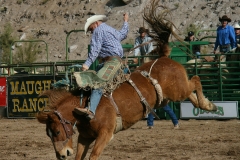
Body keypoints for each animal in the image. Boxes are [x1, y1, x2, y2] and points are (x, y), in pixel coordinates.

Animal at [37, 0, 218, 159]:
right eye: (48, 134)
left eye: (57, 131)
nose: (62, 155)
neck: (82, 106)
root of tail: (164, 57)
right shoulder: (85, 138)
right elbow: (79, 156)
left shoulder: (105, 134)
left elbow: (93, 156)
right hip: (168, 96)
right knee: (191, 92)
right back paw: (205, 104)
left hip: (177, 90)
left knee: (196, 80)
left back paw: (208, 105)